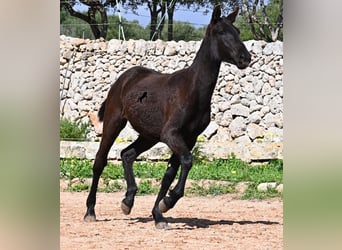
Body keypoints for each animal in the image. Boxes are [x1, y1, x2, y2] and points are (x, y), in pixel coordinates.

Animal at [84, 5, 250, 229]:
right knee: (100, 161)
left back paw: (128, 201)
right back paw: (90, 211)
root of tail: (124, 78)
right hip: (114, 122)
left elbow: (170, 173)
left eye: (238, 32)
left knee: (127, 154)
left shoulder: (188, 138)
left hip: (149, 135)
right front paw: (168, 202)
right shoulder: (171, 134)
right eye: (221, 32)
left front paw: (159, 213)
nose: (245, 58)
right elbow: (187, 162)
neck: (191, 90)